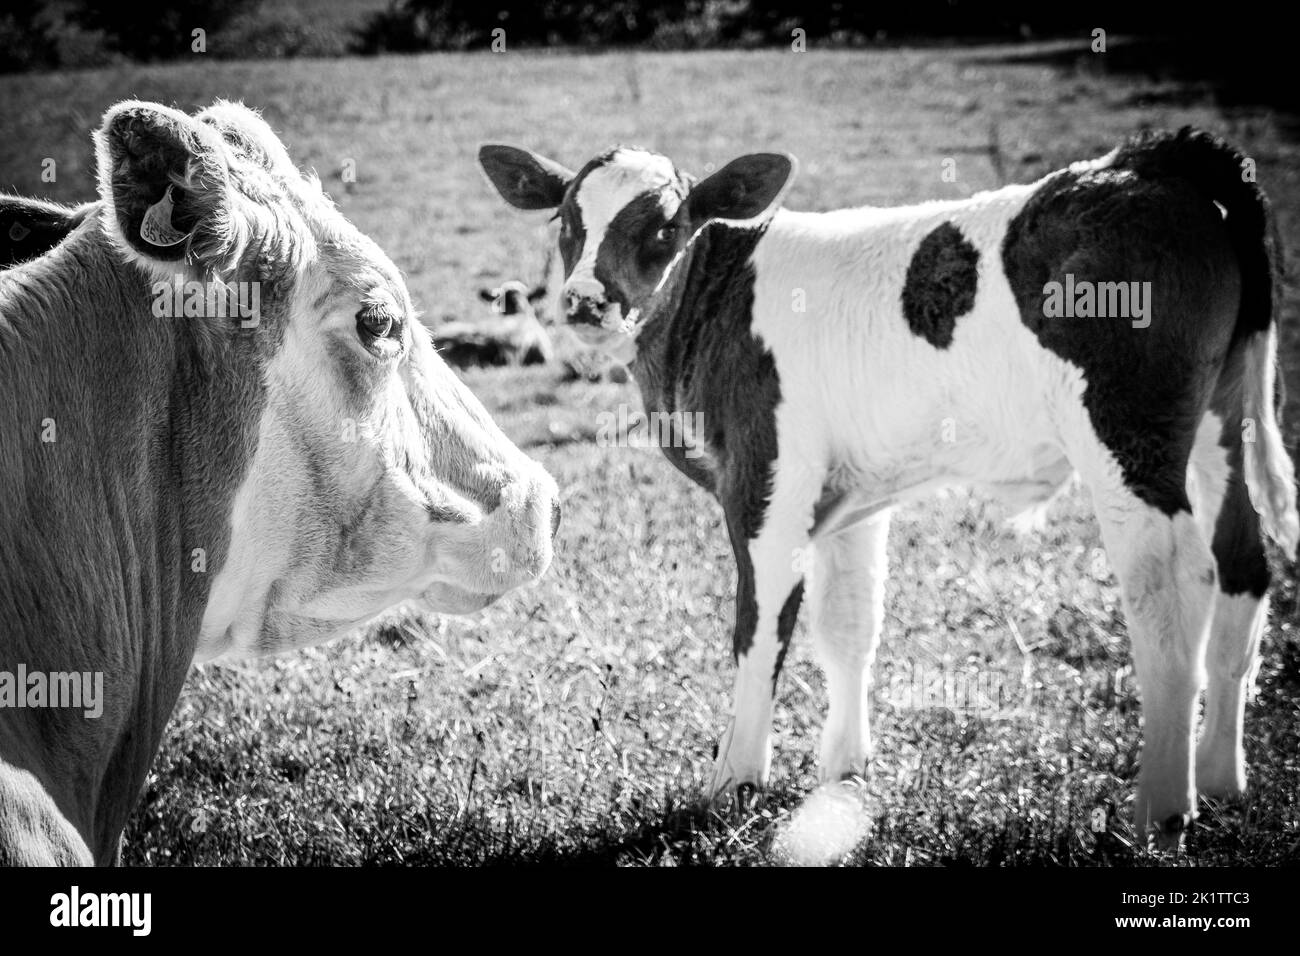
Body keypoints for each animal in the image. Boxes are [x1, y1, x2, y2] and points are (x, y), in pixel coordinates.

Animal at [480, 127, 1299, 849]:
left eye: (667, 224)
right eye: (566, 220)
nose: (585, 299)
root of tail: (1152, 159)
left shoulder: (764, 480)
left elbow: (759, 628)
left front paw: (734, 780)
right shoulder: (851, 500)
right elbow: (850, 626)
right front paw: (843, 773)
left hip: (1128, 435)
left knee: (1171, 589)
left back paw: (1163, 808)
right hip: (1218, 423)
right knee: (1242, 566)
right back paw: (1221, 779)